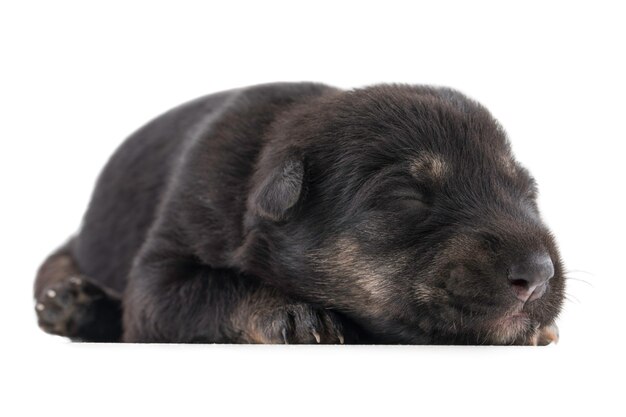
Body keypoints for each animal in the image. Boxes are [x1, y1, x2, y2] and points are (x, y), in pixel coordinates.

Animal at [33, 82, 560, 344]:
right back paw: (71, 306)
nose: (537, 276)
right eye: (405, 198)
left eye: (527, 191)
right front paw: (290, 311)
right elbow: (210, 287)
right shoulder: (163, 269)